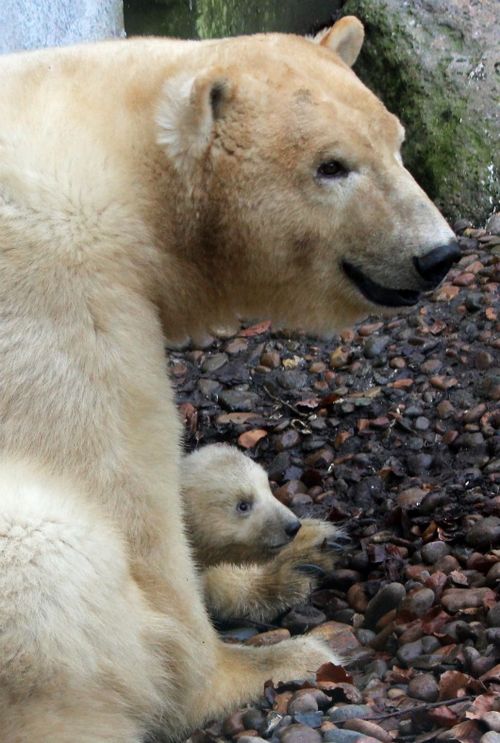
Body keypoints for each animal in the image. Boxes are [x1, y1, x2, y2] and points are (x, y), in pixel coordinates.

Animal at [0, 16, 458, 743]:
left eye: (397, 140)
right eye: (330, 165)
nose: (438, 254)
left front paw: (304, 553)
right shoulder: (66, 292)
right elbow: (128, 504)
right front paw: (260, 658)